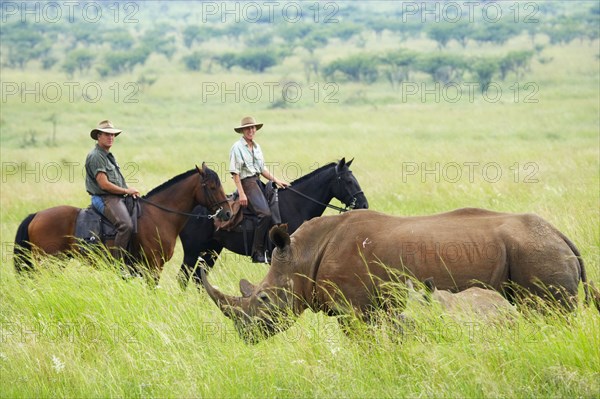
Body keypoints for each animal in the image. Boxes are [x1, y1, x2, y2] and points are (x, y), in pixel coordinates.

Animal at [14, 162, 230, 282]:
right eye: (212, 186)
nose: (227, 213)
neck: (160, 214)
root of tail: (36, 215)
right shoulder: (153, 267)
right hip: (50, 263)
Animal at [176, 159, 368, 288]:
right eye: (348, 181)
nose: (364, 205)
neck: (296, 204)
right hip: (193, 251)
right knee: (183, 278)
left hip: (211, 250)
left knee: (198, 279)